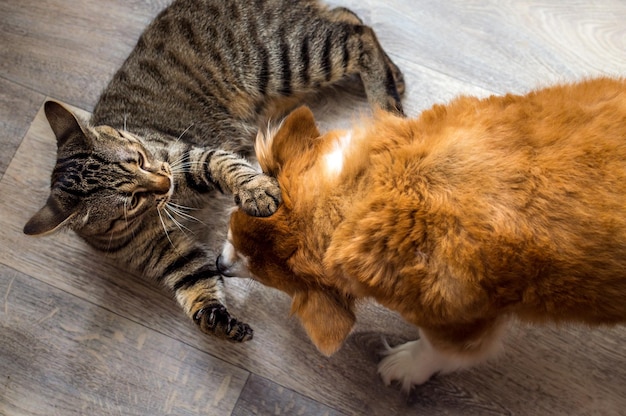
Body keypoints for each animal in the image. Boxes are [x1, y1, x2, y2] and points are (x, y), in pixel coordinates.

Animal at [23, 0, 404, 342]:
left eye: (139, 158)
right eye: (131, 201)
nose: (165, 182)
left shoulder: (189, 156)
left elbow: (229, 167)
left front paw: (258, 192)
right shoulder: (166, 252)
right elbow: (197, 282)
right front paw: (216, 319)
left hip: (288, 58)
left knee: (358, 35)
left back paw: (388, 105)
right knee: (344, 17)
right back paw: (395, 79)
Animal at [216, 77, 624, 390]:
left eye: (258, 274)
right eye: (232, 229)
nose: (218, 266)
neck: (361, 192)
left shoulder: (461, 321)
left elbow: (443, 349)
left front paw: (406, 366)